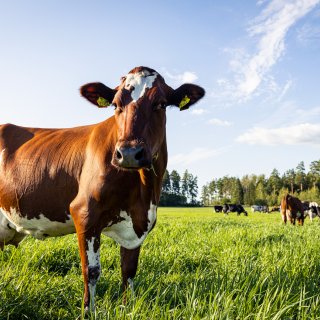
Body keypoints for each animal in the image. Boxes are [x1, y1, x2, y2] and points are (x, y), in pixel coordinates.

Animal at [0, 65, 205, 312]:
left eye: (161, 104)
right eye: (115, 105)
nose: (128, 153)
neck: (143, 192)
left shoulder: (138, 223)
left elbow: (128, 270)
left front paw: (127, 308)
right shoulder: (84, 213)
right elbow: (91, 271)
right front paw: (88, 312)